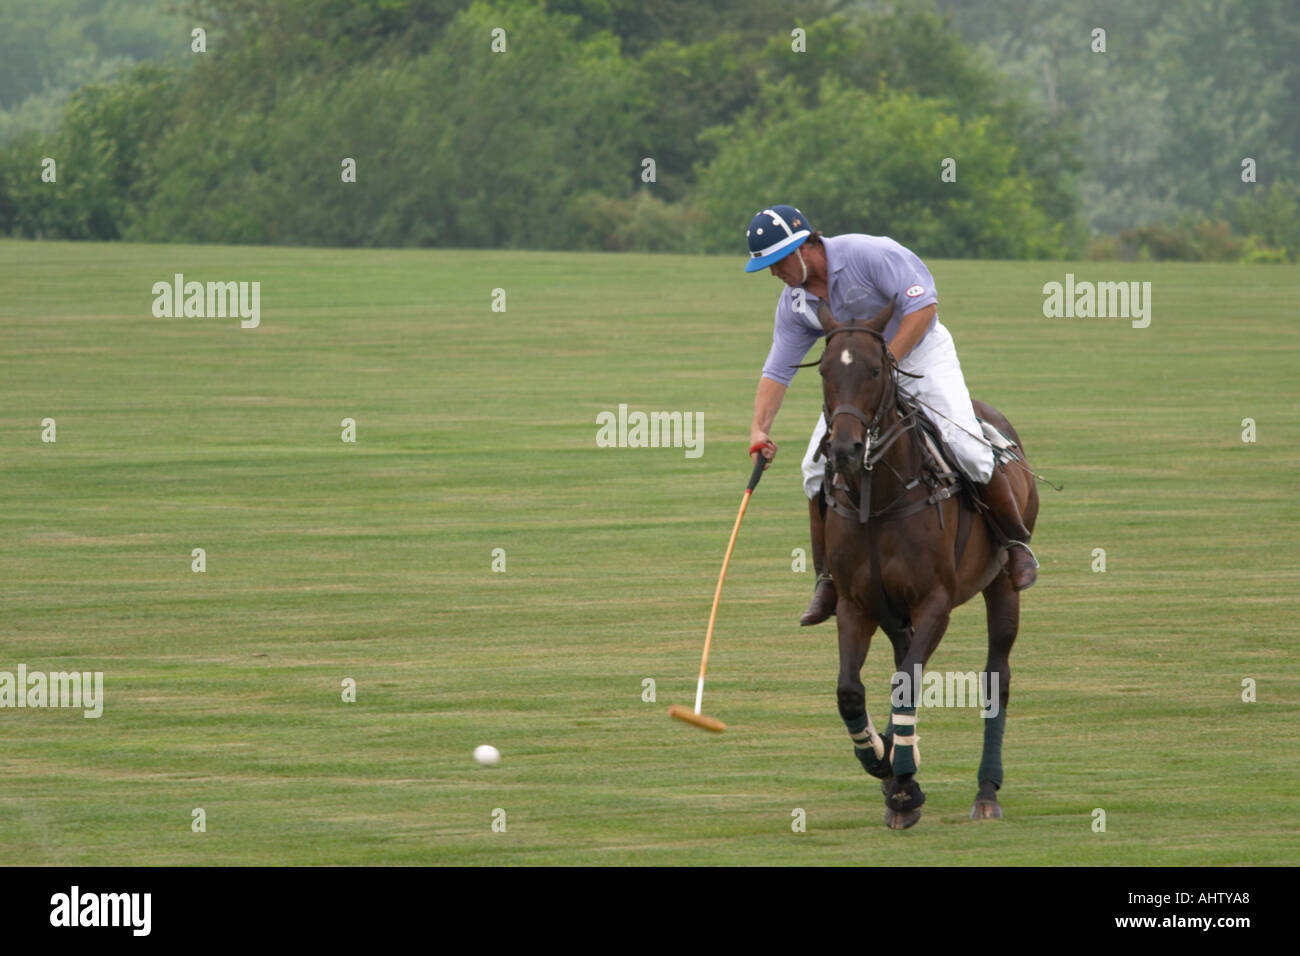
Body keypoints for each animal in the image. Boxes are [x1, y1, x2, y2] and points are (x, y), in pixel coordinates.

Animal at [816, 299, 1040, 832]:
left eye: (875, 370)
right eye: (825, 372)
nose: (844, 450)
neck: (880, 500)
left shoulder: (935, 603)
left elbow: (905, 689)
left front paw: (902, 786)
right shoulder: (857, 604)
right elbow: (851, 690)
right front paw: (885, 763)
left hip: (1002, 586)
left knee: (997, 676)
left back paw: (986, 791)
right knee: (903, 662)